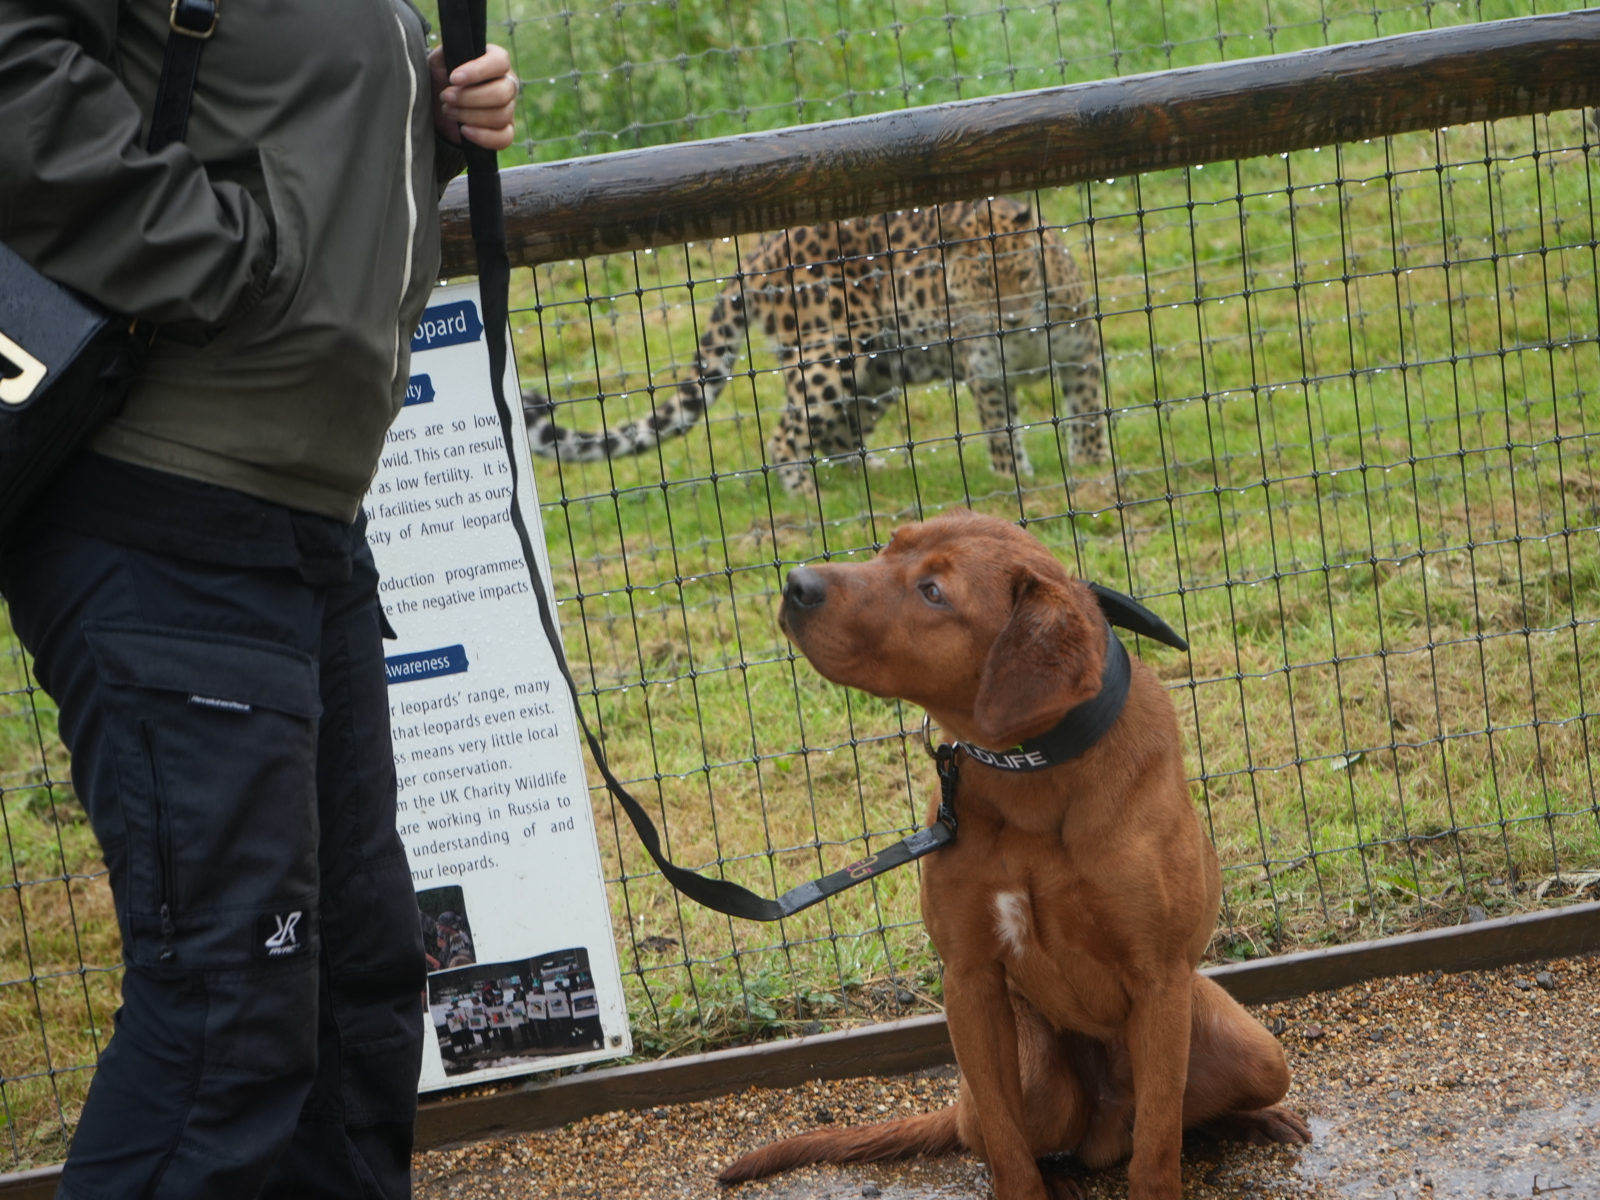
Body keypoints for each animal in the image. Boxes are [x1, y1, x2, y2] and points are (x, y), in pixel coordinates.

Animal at [522, 198, 1107, 494]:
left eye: (1023, 273)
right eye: (982, 282)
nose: (1010, 316)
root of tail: (759, 253)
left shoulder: (1082, 355)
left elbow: (1087, 416)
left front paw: (1091, 468)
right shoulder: (987, 372)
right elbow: (1003, 434)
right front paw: (1018, 484)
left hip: (878, 371)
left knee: (839, 433)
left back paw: (869, 483)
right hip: (831, 352)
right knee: (786, 437)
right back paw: (812, 505)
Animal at [719, 510, 1309, 1200]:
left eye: (934, 593)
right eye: (890, 544)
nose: (796, 584)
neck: (1033, 777)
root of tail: (1106, 1130)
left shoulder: (1161, 980)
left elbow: (1160, 1146)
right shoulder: (969, 978)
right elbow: (1006, 1144)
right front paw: (1027, 1186)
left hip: (1249, 1047)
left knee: (1180, 1117)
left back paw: (1256, 1120)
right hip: (1040, 1076)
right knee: (994, 1129)